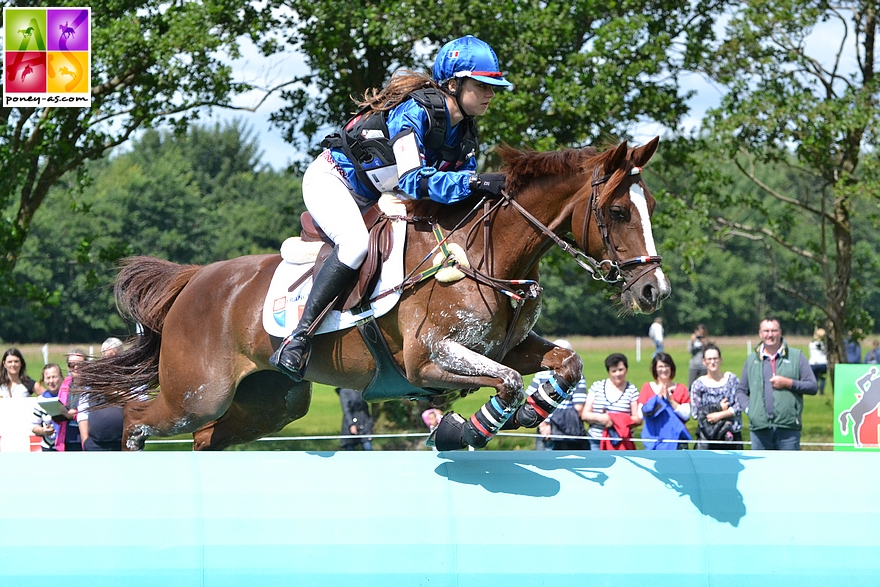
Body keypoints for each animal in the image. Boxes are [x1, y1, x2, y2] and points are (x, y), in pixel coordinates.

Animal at [79, 137, 668, 450]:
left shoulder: (507, 347)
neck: (485, 255)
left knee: (207, 439)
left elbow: (565, 364)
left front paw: (527, 413)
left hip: (272, 403)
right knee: (136, 422)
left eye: (653, 207)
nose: (653, 290)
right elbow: (505, 383)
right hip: (196, 395)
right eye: (619, 212)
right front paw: (461, 431)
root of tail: (194, 282)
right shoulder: (428, 358)